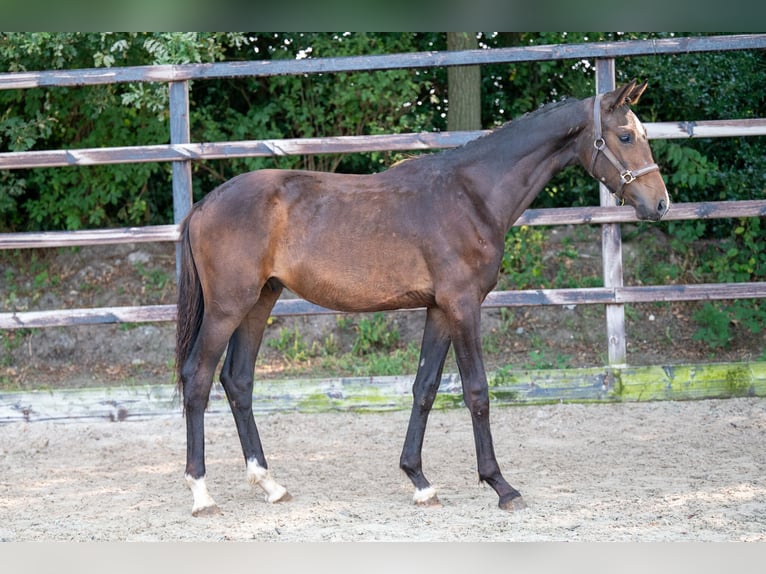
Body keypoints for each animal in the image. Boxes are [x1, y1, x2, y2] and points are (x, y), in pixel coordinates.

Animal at [177, 80, 668, 516]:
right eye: (625, 136)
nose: (660, 204)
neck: (471, 195)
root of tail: (204, 205)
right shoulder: (463, 305)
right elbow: (477, 391)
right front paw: (500, 485)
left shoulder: (438, 309)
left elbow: (425, 388)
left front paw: (419, 481)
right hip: (227, 309)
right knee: (197, 379)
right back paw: (201, 495)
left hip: (260, 302)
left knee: (238, 381)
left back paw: (270, 485)